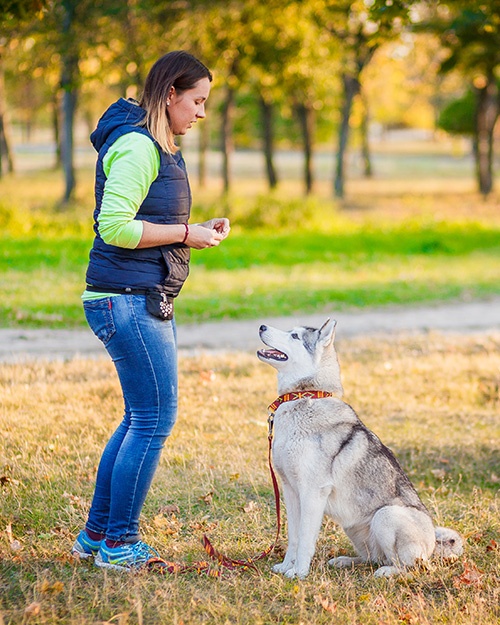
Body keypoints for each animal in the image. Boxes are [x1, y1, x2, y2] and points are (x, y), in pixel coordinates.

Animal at [260, 320, 462, 576]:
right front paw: (287, 565)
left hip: (386, 516)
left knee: (409, 565)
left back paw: (388, 572)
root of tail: (434, 545)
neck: (306, 396)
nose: (262, 327)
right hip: (353, 528)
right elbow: (293, 537)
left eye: (294, 336)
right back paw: (345, 561)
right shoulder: (290, 490)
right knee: (373, 558)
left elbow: (305, 539)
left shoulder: (312, 492)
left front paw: (299, 573)